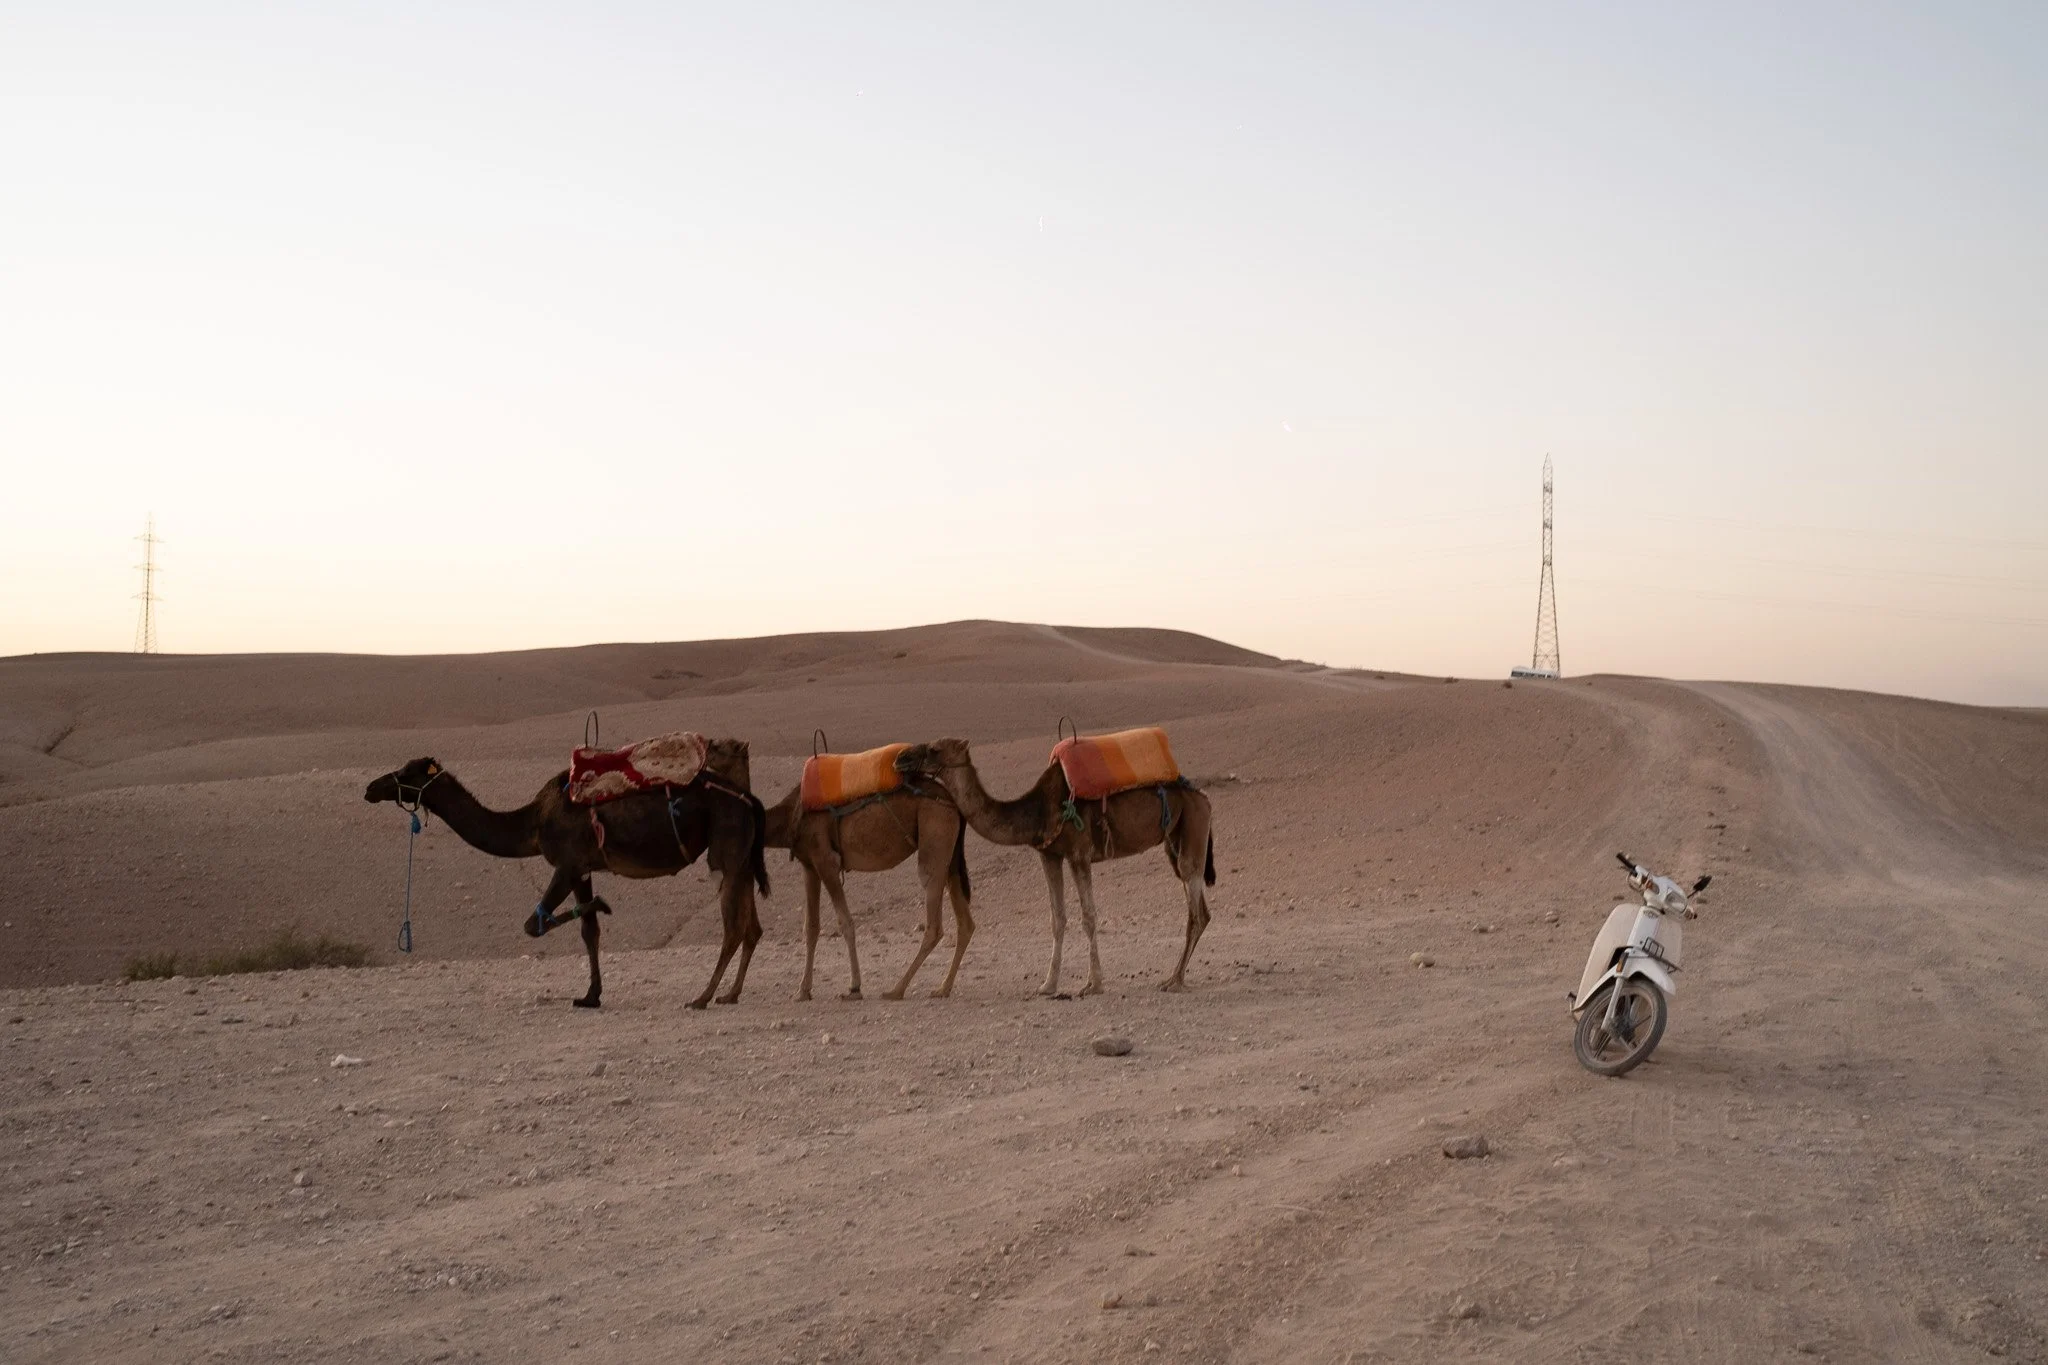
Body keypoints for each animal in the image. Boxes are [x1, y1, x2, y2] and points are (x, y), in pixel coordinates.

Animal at [363, 742, 769, 1010]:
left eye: (406, 772)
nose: (370, 787)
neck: (534, 820)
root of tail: (750, 799)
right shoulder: (583, 868)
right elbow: (589, 931)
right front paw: (591, 995)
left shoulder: (568, 863)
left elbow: (533, 924)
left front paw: (603, 905)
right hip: (744, 856)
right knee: (752, 927)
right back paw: (730, 994)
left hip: (726, 847)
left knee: (733, 927)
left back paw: (702, 997)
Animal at [760, 782, 974, 1002]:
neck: (790, 816)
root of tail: (954, 803)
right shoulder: (809, 866)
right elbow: (811, 927)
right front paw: (803, 991)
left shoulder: (826, 861)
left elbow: (846, 923)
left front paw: (854, 988)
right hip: (951, 855)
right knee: (965, 923)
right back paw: (943, 988)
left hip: (934, 834)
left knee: (934, 921)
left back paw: (897, 990)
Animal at [893, 739, 1216, 997]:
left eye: (934, 748)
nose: (900, 758)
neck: (1037, 810)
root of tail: (1202, 796)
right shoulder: (1049, 856)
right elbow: (1057, 918)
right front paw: (1048, 985)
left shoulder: (1079, 854)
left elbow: (1088, 917)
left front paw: (1093, 984)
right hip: (1176, 839)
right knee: (1199, 904)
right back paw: (1175, 976)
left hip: (1193, 826)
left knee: (1196, 910)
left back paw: (1174, 979)